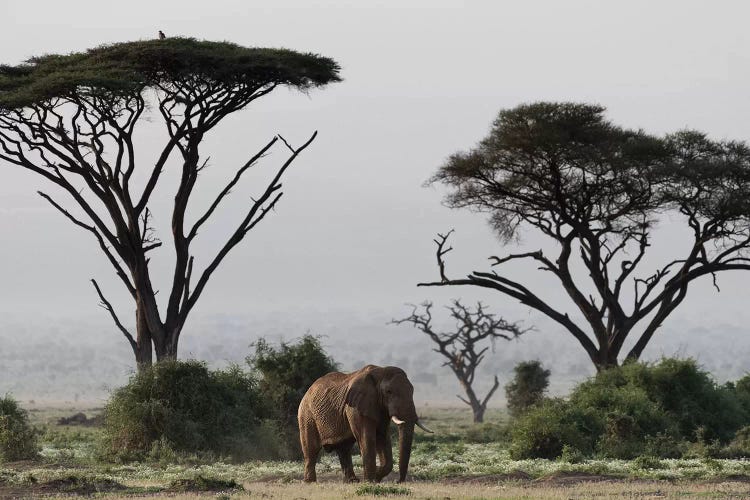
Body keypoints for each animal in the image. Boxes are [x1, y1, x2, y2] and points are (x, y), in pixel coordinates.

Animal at [296, 366, 432, 482]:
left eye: (413, 390)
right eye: (389, 392)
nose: (398, 481)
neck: (380, 372)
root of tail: (308, 390)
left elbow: (382, 436)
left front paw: (376, 478)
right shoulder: (355, 408)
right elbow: (367, 438)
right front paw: (370, 481)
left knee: (344, 449)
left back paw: (352, 481)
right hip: (307, 415)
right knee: (311, 450)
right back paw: (310, 482)